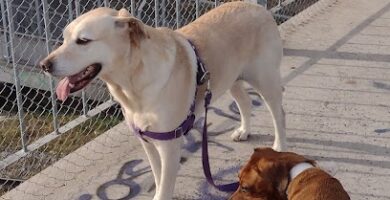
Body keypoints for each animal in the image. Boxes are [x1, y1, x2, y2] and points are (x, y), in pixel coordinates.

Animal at [40, 1, 286, 200]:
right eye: (64, 39)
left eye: (83, 41)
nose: (44, 65)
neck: (133, 83)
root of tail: (255, 6)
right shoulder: (147, 141)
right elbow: (158, 178)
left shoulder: (170, 144)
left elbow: (165, 185)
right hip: (230, 77)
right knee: (245, 102)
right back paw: (244, 131)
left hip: (264, 79)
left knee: (278, 112)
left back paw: (279, 145)